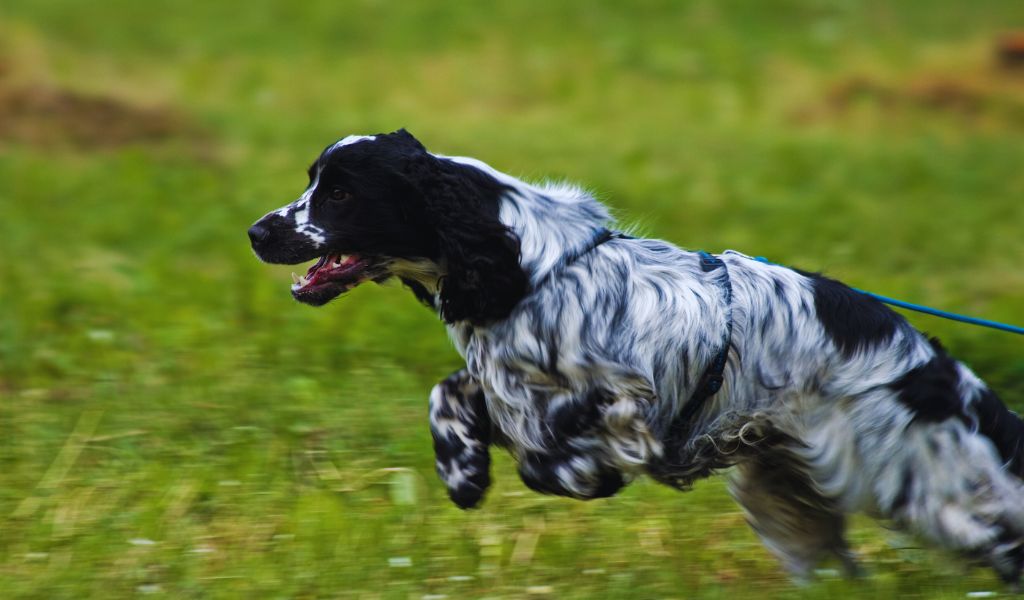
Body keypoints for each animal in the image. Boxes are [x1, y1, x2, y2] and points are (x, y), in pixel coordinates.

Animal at [247, 128, 1024, 581]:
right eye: (314, 180)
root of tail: (948, 377)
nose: (257, 231)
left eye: (340, 192)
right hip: (788, 501)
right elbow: (456, 394)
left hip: (928, 490)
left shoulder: (626, 398)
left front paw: (579, 473)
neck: (528, 266)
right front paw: (463, 471)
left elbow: (558, 448)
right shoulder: (511, 385)